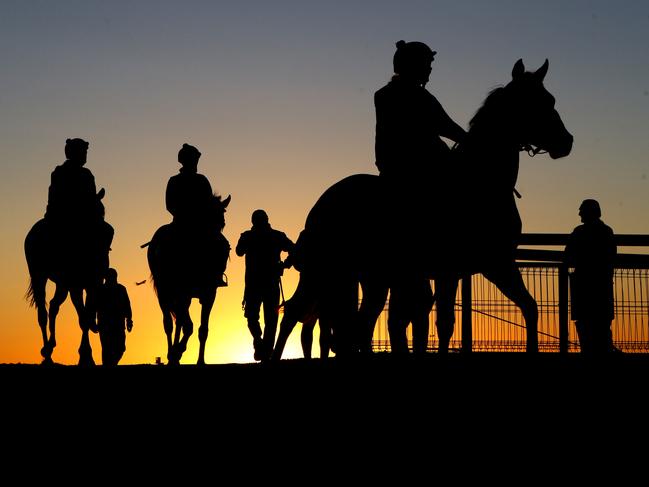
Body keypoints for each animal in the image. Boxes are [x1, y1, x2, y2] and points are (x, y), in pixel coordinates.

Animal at [25, 190, 114, 366]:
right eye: (96, 210)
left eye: (103, 210)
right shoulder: (76, 286)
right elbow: (83, 318)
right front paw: (86, 356)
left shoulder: (93, 283)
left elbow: (86, 315)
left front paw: (86, 355)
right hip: (40, 276)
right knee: (43, 313)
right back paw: (47, 354)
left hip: (62, 284)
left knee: (53, 305)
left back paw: (50, 346)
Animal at [146, 193, 230, 364]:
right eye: (208, 215)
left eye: (222, 220)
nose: (221, 246)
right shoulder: (181, 292)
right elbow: (188, 326)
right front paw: (177, 351)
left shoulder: (209, 294)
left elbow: (202, 330)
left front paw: (200, 361)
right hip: (164, 293)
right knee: (169, 323)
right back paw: (171, 354)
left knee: (179, 321)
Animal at [274, 61, 572, 358]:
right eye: (538, 102)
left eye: (551, 100)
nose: (567, 142)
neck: (478, 182)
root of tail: (319, 206)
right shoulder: (454, 270)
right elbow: (445, 324)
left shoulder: (498, 264)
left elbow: (529, 307)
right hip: (325, 271)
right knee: (298, 314)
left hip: (365, 277)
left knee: (359, 322)